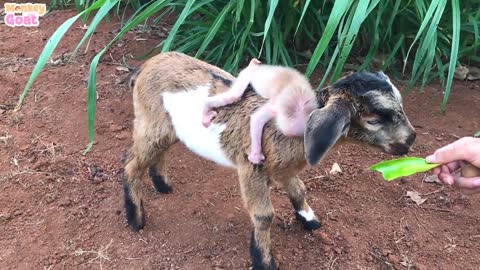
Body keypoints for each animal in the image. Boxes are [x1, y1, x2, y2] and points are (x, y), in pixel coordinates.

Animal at [124, 51, 416, 268]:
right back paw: (136, 218)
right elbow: (264, 215)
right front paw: (264, 261)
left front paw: (309, 220)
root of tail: (147, 64)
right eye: (374, 120)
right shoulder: (250, 168)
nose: (411, 139)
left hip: (167, 128)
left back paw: (163, 185)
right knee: (130, 163)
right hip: (150, 122)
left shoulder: (284, 169)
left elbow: (299, 189)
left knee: (158, 152)